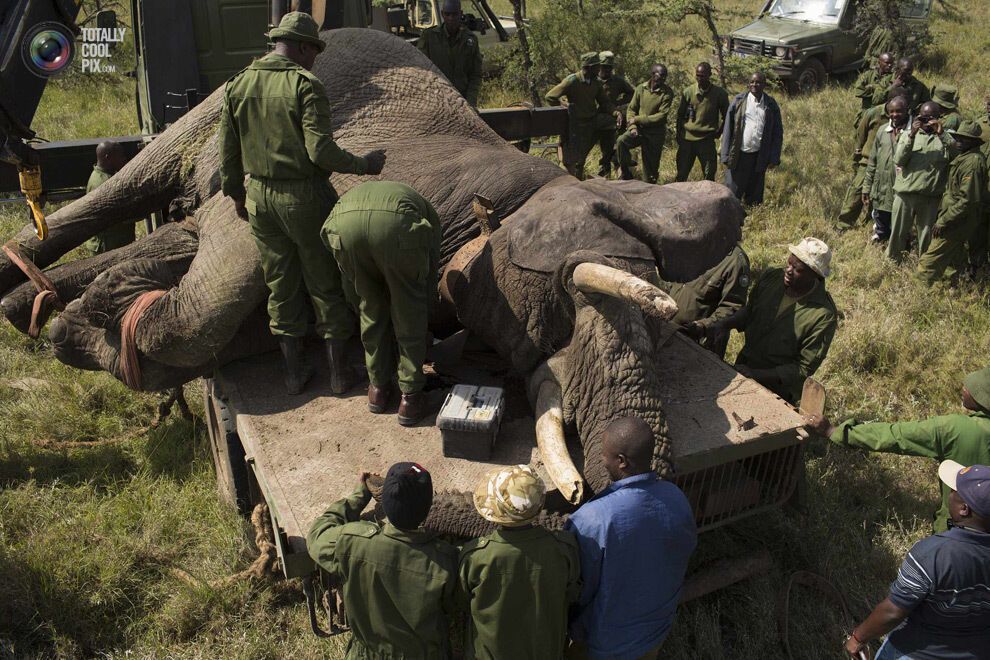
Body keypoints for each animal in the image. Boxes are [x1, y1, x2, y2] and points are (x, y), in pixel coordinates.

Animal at [0, 28, 744, 532]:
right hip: (211, 109)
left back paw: (29, 301)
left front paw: (87, 314)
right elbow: (225, 272)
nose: (581, 494)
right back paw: (33, 280)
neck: (513, 194)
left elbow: (224, 292)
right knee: (133, 186)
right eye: (566, 303)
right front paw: (85, 322)